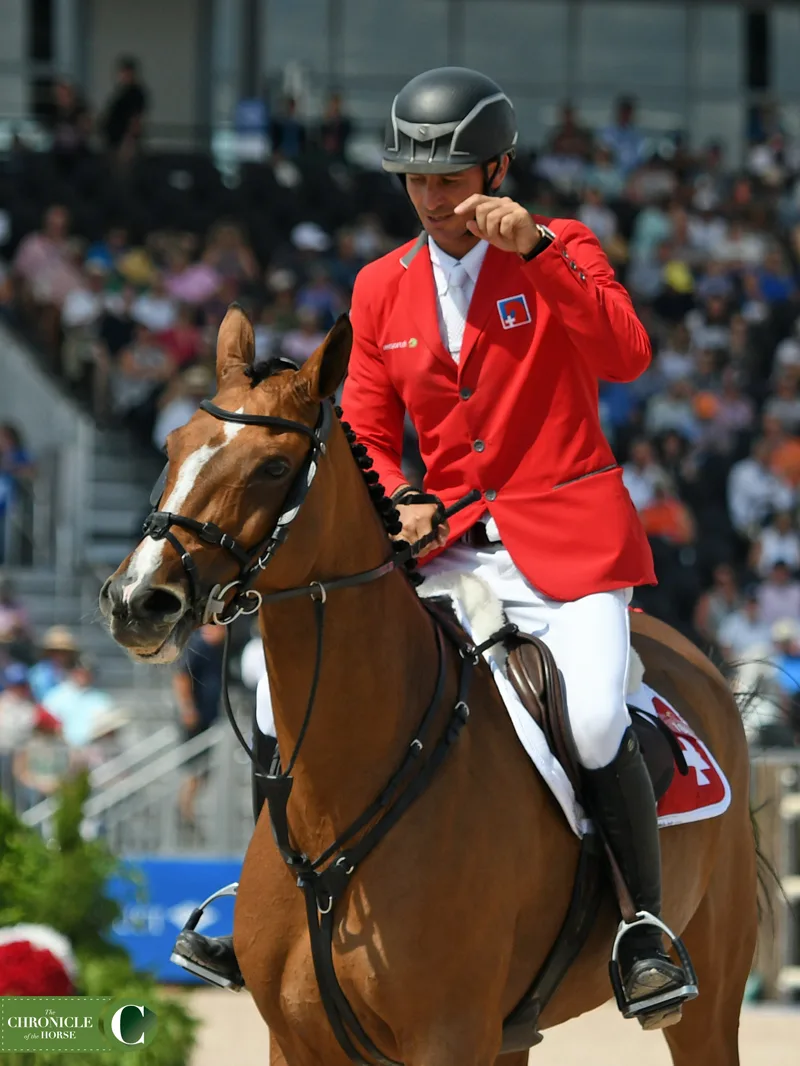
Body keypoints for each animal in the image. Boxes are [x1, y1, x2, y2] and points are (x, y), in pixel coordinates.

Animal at [103, 307, 759, 1066]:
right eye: (174, 444)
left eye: (273, 467)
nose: (136, 600)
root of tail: (698, 661)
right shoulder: (296, 1038)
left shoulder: (449, 1036)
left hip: (707, 999)